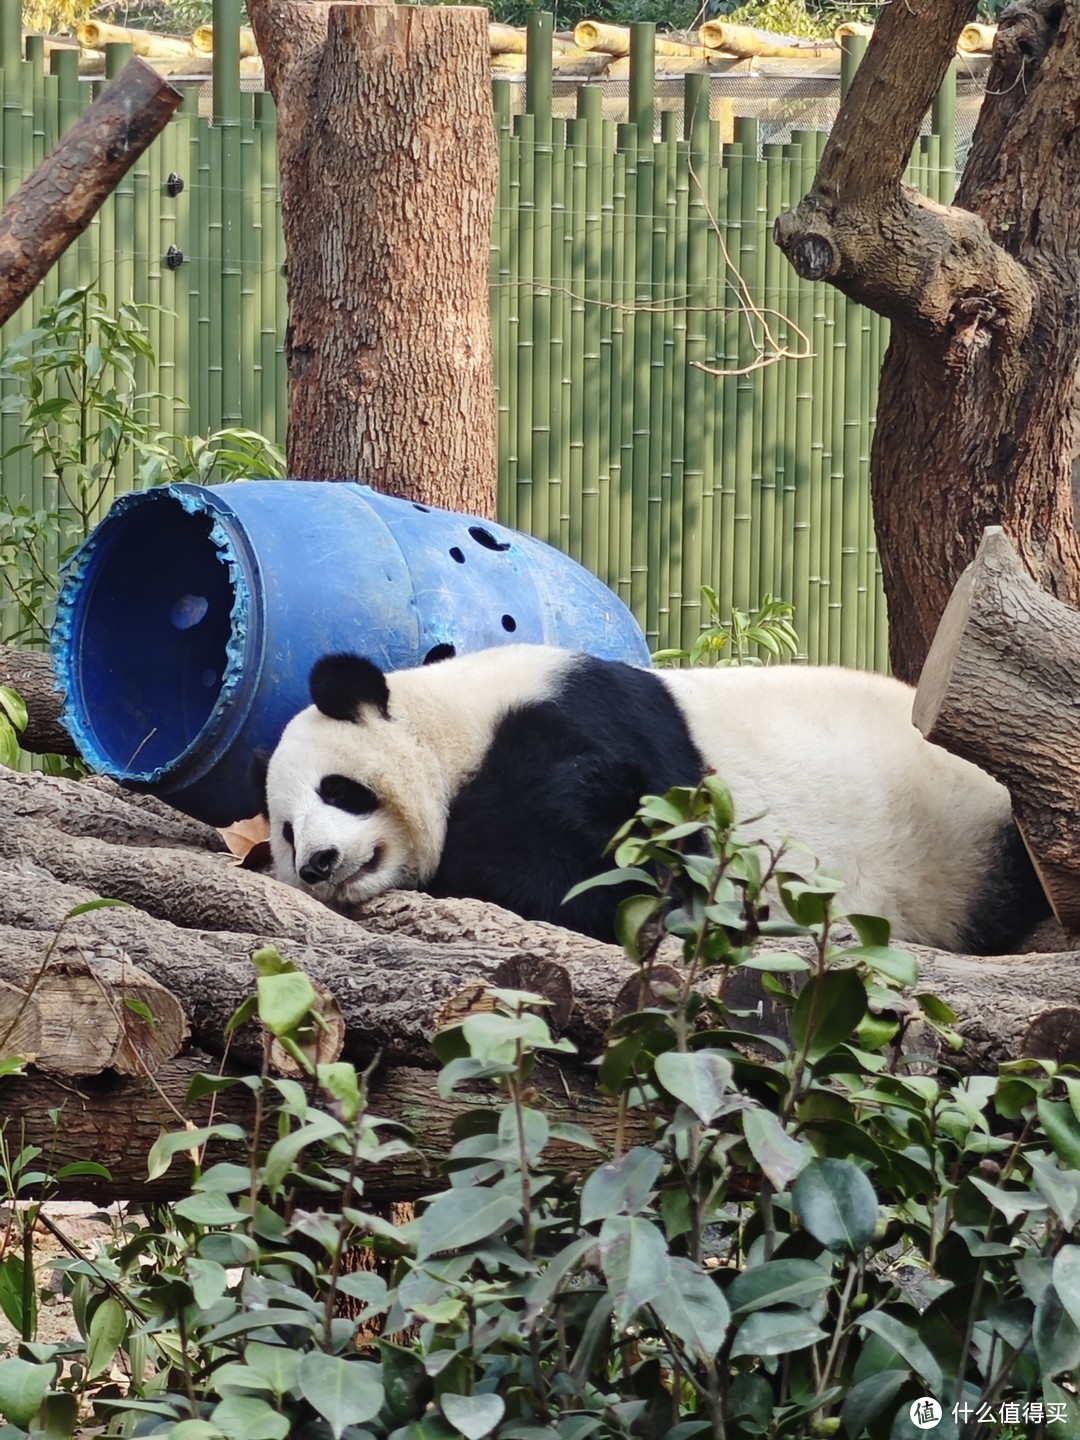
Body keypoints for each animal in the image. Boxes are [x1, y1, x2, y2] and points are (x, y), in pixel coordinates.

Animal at [257, 648, 1054, 950]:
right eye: (287, 834)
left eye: (341, 790)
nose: (320, 863)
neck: (453, 724)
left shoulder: (566, 723)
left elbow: (604, 862)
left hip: (962, 830)